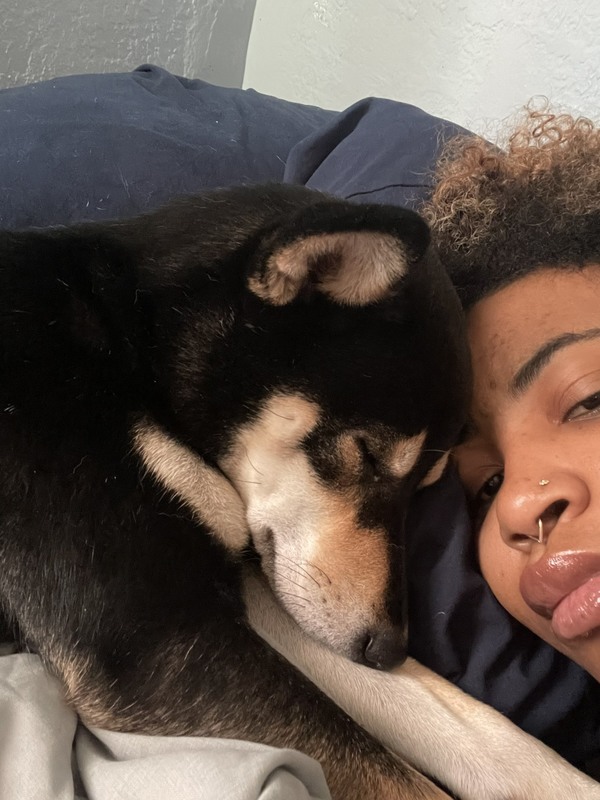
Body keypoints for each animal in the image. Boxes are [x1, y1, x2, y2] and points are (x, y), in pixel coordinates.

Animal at [0, 184, 596, 800]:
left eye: (426, 488)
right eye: (368, 452)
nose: (388, 649)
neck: (133, 347)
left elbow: (475, 729)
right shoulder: (147, 645)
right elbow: (399, 781)